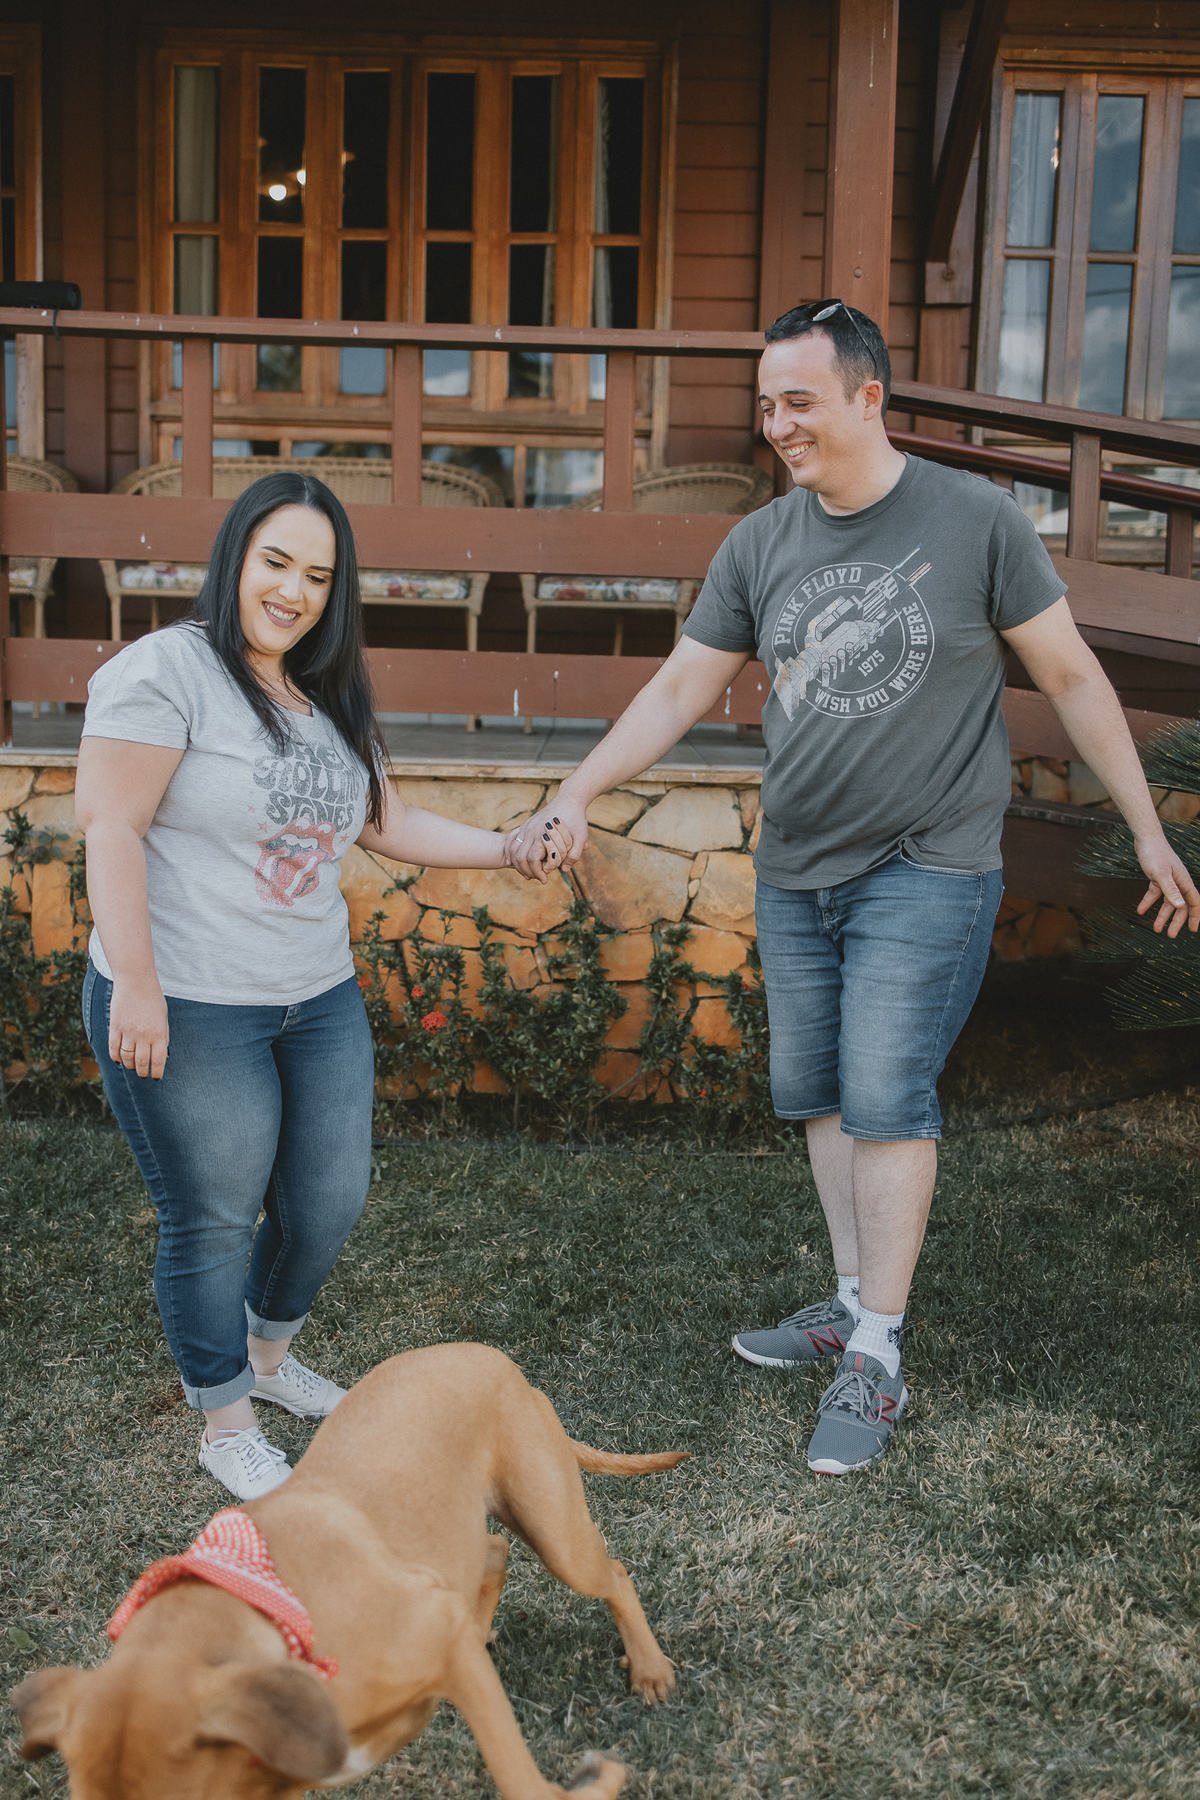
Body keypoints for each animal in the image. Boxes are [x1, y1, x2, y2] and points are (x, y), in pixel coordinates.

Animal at [12, 1343, 688, 1798]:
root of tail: (495, 1358)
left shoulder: (440, 1642)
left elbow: (524, 1781)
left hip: (555, 1531)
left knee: (613, 1575)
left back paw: (650, 1669)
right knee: (494, 1553)